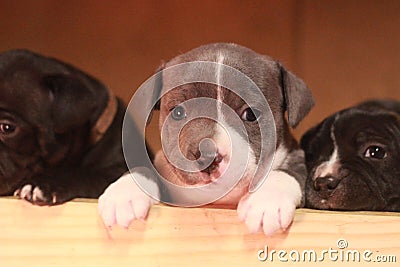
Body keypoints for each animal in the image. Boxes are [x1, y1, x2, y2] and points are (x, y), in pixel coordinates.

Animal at [98, 43, 314, 236]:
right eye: (178, 112)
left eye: (250, 114)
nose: (207, 155)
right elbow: (145, 169)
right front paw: (123, 194)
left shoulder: (296, 157)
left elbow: (287, 173)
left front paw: (266, 200)